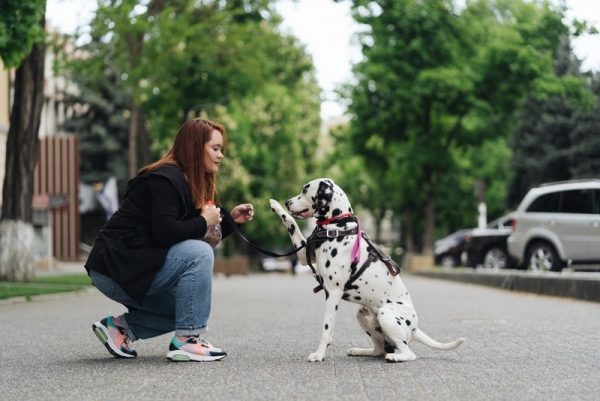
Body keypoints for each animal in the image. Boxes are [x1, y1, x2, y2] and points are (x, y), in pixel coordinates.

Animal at [270, 178, 466, 362]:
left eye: (305, 190)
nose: (287, 202)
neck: (338, 225)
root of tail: (415, 327)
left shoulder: (333, 292)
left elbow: (326, 326)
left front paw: (319, 354)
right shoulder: (304, 257)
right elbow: (292, 223)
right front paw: (275, 205)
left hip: (386, 315)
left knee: (408, 353)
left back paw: (395, 357)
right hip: (363, 315)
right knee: (379, 349)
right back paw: (360, 351)